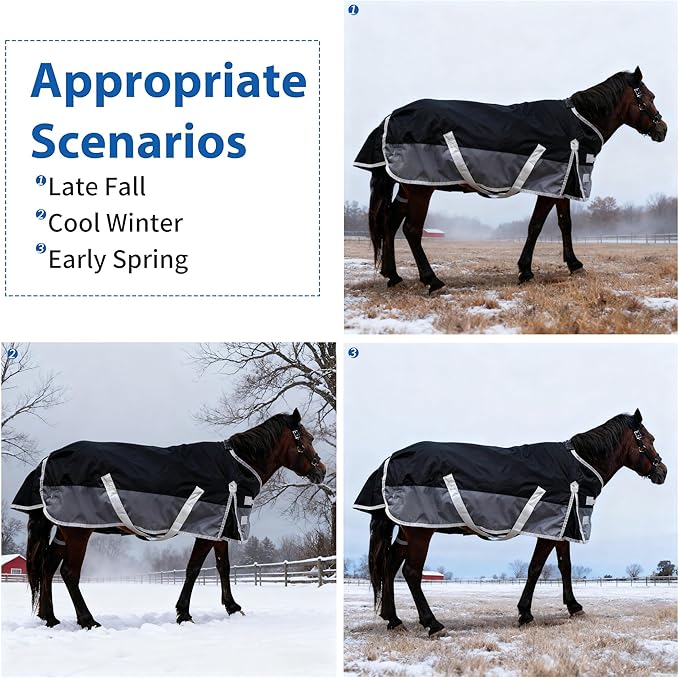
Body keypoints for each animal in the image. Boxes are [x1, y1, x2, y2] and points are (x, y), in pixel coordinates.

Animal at [11, 409, 326, 629]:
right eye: (308, 439)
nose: (320, 471)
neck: (236, 466)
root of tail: (49, 460)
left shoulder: (219, 528)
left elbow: (222, 567)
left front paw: (231, 607)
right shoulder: (208, 528)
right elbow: (194, 569)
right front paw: (184, 613)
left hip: (67, 529)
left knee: (48, 567)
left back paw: (50, 618)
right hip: (79, 532)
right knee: (69, 573)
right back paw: (88, 620)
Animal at [354, 68, 667, 293]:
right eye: (650, 96)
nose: (662, 129)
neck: (578, 123)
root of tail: (392, 117)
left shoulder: (562, 185)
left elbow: (563, 224)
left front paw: (569, 264)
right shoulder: (551, 186)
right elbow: (537, 226)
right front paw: (530, 269)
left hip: (409, 187)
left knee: (390, 224)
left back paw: (393, 276)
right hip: (421, 188)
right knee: (411, 230)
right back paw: (432, 281)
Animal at [354, 409, 666, 637]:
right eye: (648, 439)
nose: (662, 471)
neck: (578, 466)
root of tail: (391, 459)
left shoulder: (562, 527)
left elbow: (563, 567)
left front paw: (572, 607)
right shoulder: (550, 529)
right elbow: (536, 568)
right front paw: (526, 613)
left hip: (407, 529)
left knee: (390, 566)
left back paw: (394, 620)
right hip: (420, 531)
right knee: (411, 572)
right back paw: (433, 624)